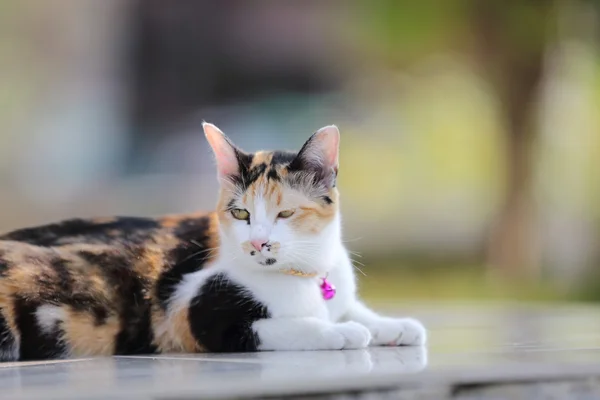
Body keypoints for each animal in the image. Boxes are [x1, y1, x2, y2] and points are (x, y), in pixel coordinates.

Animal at [0, 123, 424, 360]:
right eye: (241, 214)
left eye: (285, 214)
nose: (258, 244)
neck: (302, 275)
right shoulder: (193, 312)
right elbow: (288, 325)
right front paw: (342, 332)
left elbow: (352, 308)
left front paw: (395, 326)